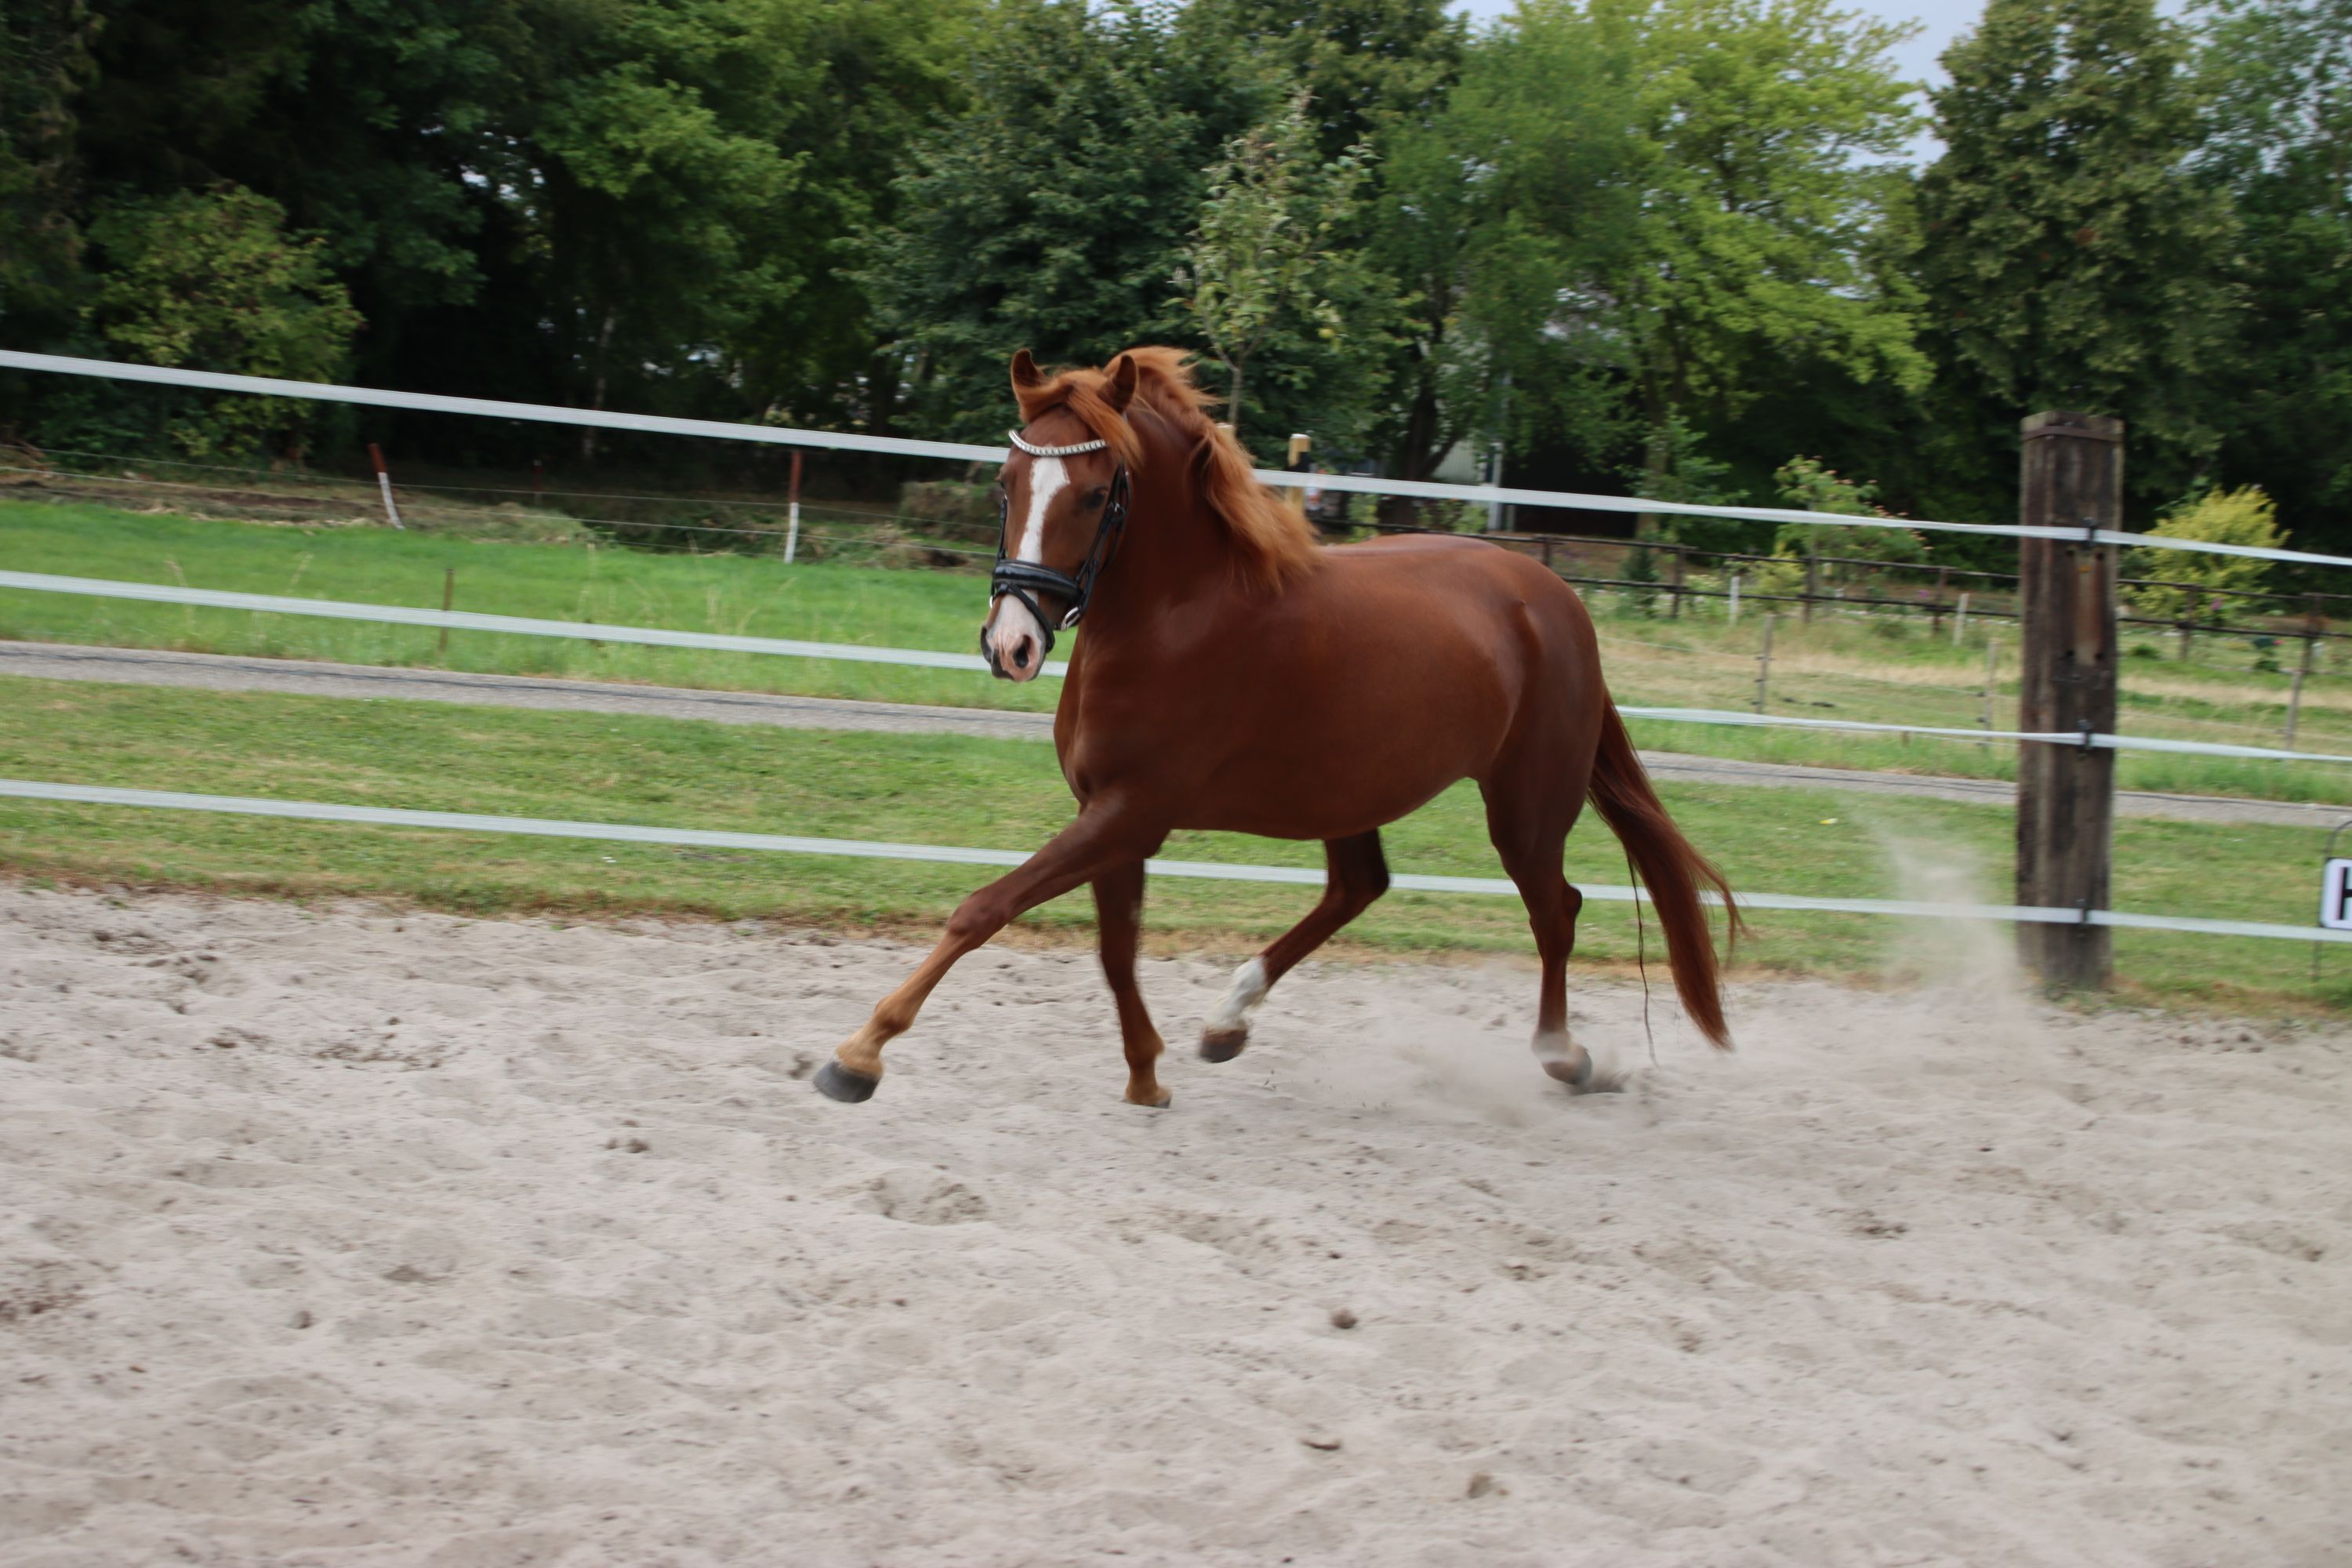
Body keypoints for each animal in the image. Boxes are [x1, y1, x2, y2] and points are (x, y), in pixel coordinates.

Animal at [812, 347, 1737, 1108]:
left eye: (1095, 492)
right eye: (1006, 484)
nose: (1012, 645)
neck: (1172, 618)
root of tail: (1555, 601)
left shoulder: (1131, 813)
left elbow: (984, 909)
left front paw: (858, 1055)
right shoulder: (1111, 816)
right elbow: (1115, 950)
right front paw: (1147, 1077)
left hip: (1525, 808)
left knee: (1557, 910)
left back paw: (1564, 1055)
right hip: (1353, 791)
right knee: (1360, 886)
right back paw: (1228, 1022)